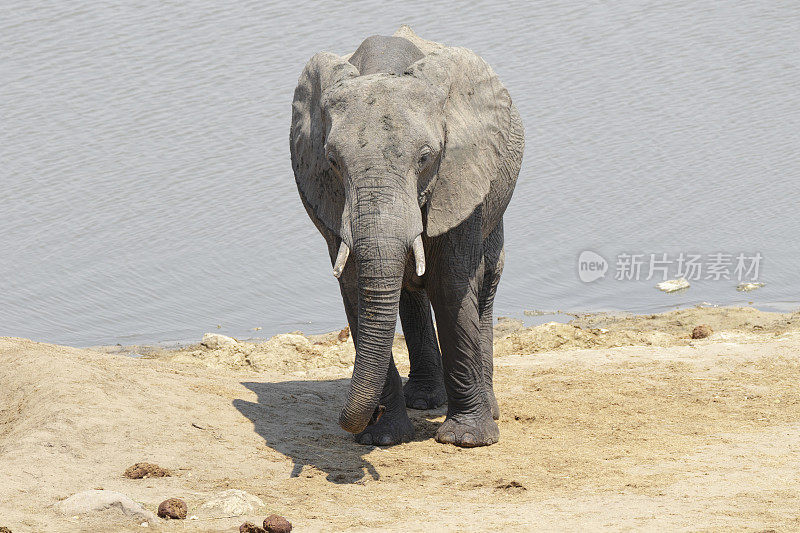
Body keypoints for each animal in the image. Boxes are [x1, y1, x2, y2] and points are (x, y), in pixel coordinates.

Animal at [290, 25, 520, 444]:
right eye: (332, 161)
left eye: (426, 158)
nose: (361, 419)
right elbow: (355, 283)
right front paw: (381, 438)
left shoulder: (461, 173)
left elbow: (452, 282)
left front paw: (466, 440)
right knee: (410, 287)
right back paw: (424, 401)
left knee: (486, 278)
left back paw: (487, 408)